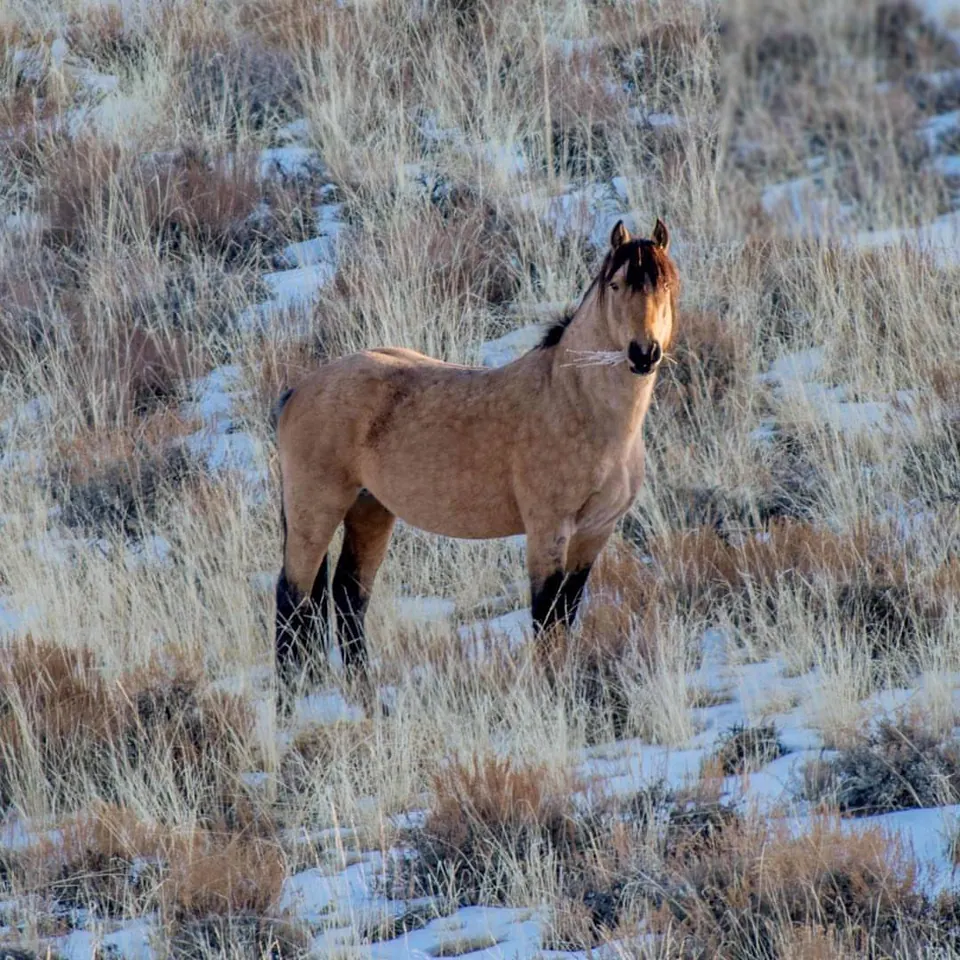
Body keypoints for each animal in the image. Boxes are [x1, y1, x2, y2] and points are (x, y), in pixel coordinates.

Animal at [272, 218, 678, 708]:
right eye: (617, 284)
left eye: (666, 285)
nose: (644, 353)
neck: (576, 404)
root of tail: (299, 391)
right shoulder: (548, 530)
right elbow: (546, 617)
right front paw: (552, 695)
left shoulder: (595, 533)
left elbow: (567, 612)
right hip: (315, 510)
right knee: (291, 599)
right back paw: (289, 703)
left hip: (371, 510)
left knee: (348, 596)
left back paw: (367, 697)